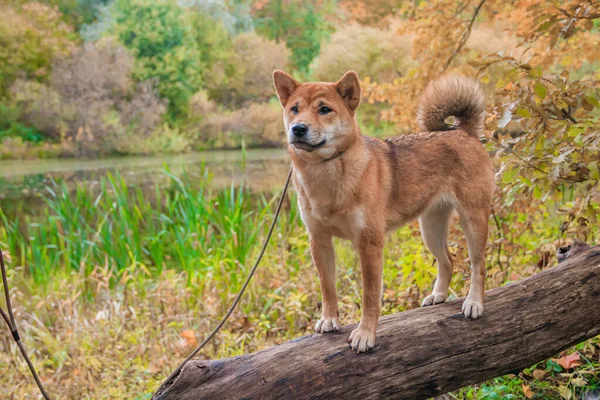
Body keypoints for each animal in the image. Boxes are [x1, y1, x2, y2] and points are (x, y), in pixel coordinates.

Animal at [274, 70, 494, 352]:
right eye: (295, 109)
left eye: (324, 109)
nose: (298, 128)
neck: (326, 174)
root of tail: (463, 132)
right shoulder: (319, 240)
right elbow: (328, 287)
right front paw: (330, 319)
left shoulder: (369, 244)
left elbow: (370, 296)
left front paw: (365, 334)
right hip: (430, 229)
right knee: (448, 260)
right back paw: (438, 295)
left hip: (473, 221)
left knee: (479, 264)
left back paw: (474, 302)